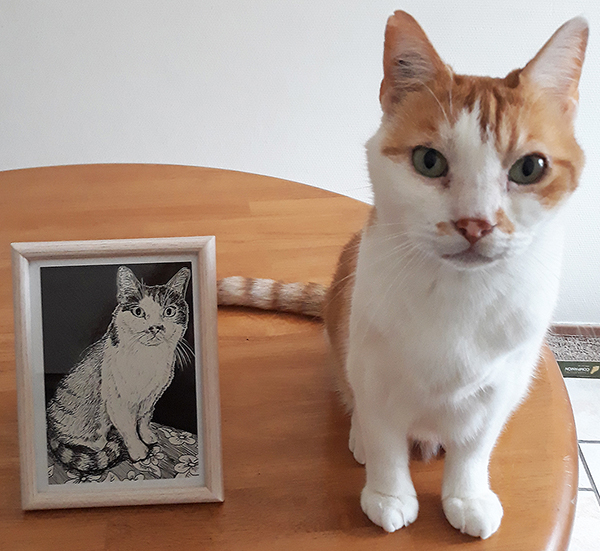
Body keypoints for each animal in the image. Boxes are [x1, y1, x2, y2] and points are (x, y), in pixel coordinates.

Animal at [218, 11, 588, 540]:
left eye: (529, 168)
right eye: (428, 161)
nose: (475, 223)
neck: (458, 296)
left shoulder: (501, 388)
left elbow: (475, 450)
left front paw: (466, 496)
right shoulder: (376, 374)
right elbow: (385, 442)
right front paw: (389, 495)